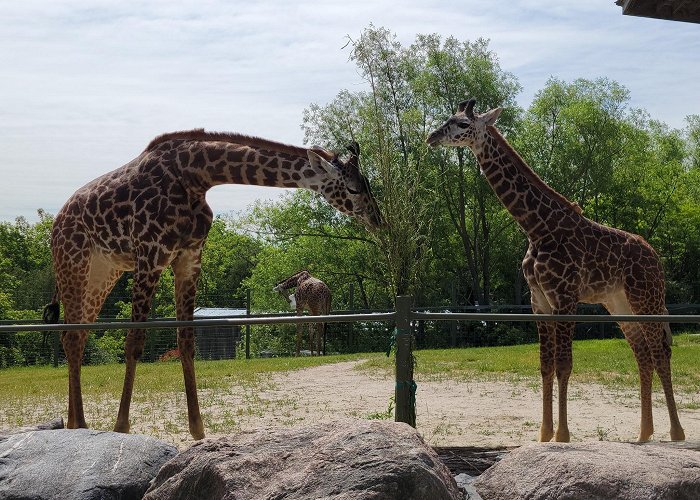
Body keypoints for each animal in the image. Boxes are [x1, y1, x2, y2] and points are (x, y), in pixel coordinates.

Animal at [43, 131, 382, 440]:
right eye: (353, 187)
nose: (377, 219)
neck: (197, 176)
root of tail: (57, 222)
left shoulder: (190, 257)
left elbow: (187, 340)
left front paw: (198, 430)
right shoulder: (151, 254)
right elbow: (135, 341)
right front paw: (121, 427)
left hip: (104, 273)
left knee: (77, 335)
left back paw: (74, 423)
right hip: (73, 263)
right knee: (71, 337)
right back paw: (80, 424)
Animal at [426, 97, 684, 442]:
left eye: (463, 124)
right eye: (448, 119)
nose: (432, 137)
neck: (537, 228)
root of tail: (655, 257)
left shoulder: (564, 297)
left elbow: (564, 365)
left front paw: (562, 434)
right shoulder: (539, 301)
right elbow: (545, 366)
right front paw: (544, 433)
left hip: (647, 298)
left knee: (660, 352)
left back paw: (676, 432)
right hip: (618, 303)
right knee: (642, 354)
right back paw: (643, 433)